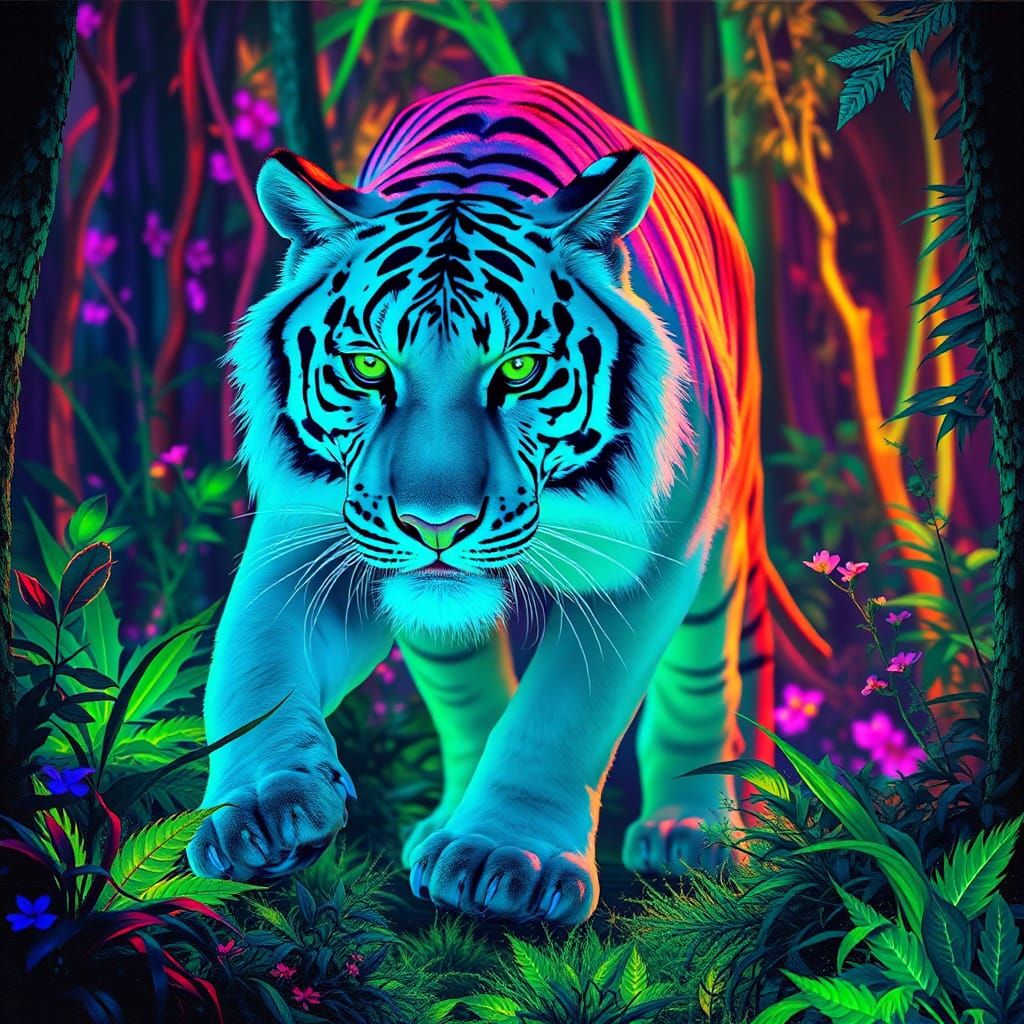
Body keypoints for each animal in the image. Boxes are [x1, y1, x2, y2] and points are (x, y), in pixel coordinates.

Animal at [187, 76, 826, 925]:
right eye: (368, 366)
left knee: (709, 664)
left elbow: (565, 710)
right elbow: (253, 659)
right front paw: (260, 808)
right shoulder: (310, 531)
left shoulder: (650, 552)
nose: (436, 526)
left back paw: (695, 830)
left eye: (518, 369)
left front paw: (506, 857)